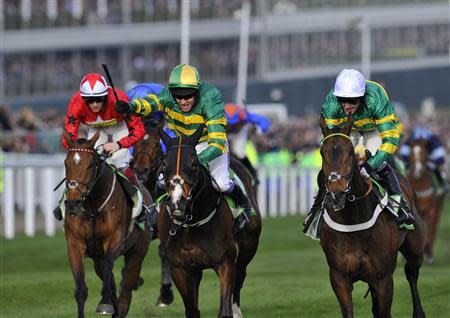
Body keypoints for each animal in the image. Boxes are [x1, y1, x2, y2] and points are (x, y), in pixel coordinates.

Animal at [61, 130, 154, 318]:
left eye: (90, 165)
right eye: (66, 163)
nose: (73, 204)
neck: (92, 208)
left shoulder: (114, 241)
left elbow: (110, 266)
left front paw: (105, 304)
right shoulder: (75, 244)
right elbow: (81, 290)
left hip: (138, 250)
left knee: (126, 286)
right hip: (97, 257)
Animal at [158, 126, 264, 318]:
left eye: (194, 164)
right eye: (163, 164)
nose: (177, 202)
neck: (192, 225)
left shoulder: (225, 262)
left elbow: (224, 309)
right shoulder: (179, 268)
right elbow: (192, 309)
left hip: (250, 244)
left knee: (240, 274)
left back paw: (237, 310)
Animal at [316, 117, 426, 318]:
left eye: (349, 152)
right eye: (322, 152)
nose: (337, 193)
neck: (353, 220)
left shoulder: (383, 278)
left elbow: (384, 311)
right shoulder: (339, 277)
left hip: (415, 250)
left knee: (411, 274)